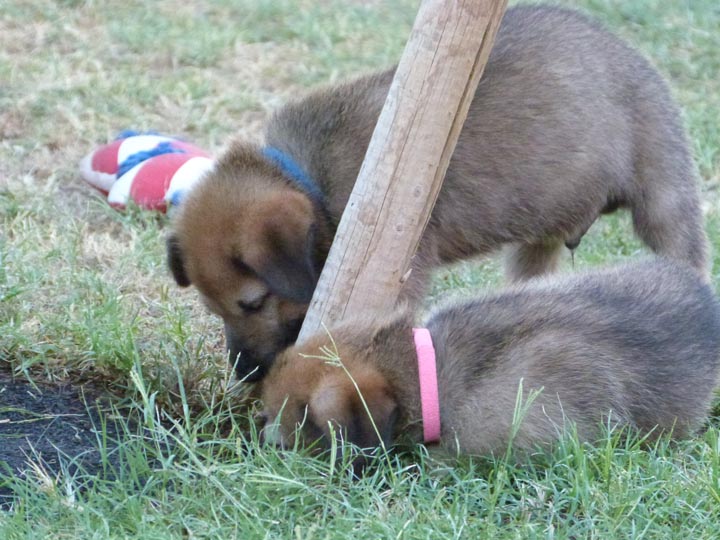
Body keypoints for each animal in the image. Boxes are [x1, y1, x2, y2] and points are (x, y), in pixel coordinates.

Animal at [165, 6, 708, 382]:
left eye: (253, 303)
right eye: (214, 310)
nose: (245, 375)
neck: (309, 180)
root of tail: (628, 52)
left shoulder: (397, 267)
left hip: (664, 195)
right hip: (539, 239)